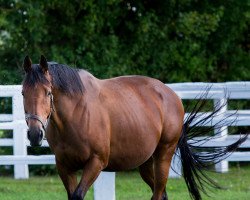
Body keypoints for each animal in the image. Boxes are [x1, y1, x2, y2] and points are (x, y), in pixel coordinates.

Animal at [22, 55, 248, 200]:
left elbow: (78, 195)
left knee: (158, 194)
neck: (76, 113)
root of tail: (172, 95)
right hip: (146, 163)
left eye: (48, 92)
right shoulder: (64, 166)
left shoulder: (96, 162)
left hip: (164, 155)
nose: (34, 134)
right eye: (23, 92)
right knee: (161, 194)